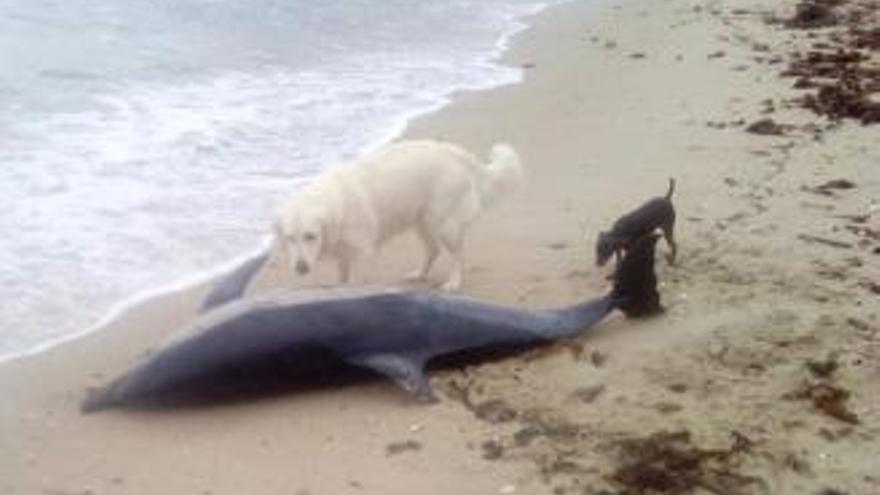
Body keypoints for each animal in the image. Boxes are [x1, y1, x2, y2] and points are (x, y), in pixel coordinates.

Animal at [276, 140, 524, 290]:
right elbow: (342, 279)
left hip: (444, 223)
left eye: (310, 236)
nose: (301, 268)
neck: (336, 202)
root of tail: (457, 153)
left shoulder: (362, 253)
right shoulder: (344, 254)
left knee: (457, 256)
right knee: (432, 250)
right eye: (289, 238)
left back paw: (453, 283)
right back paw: (419, 274)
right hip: (422, 221)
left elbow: (354, 283)